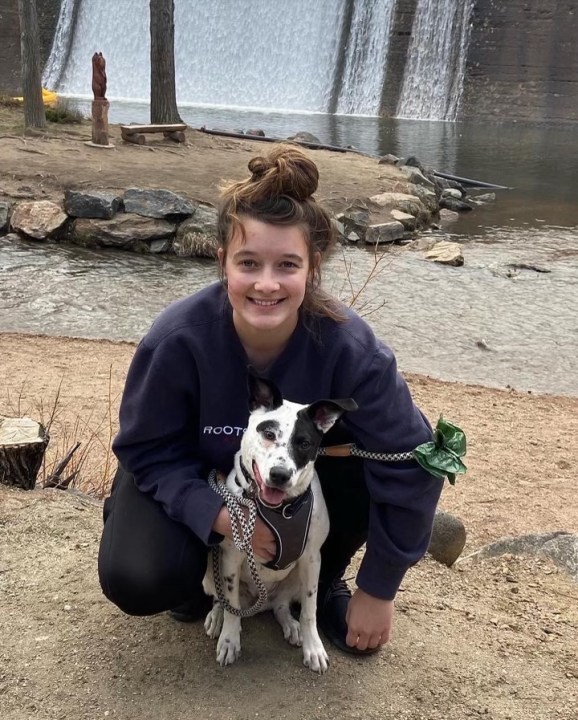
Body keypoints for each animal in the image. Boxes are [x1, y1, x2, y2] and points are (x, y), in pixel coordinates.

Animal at [202, 374, 356, 672]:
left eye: (304, 443)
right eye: (269, 434)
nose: (280, 475)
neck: (280, 509)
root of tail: (260, 603)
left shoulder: (312, 558)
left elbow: (310, 610)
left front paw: (313, 647)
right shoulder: (231, 556)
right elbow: (230, 605)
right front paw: (229, 640)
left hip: (296, 578)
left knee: (282, 606)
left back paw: (292, 626)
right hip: (210, 572)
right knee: (223, 601)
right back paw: (217, 618)